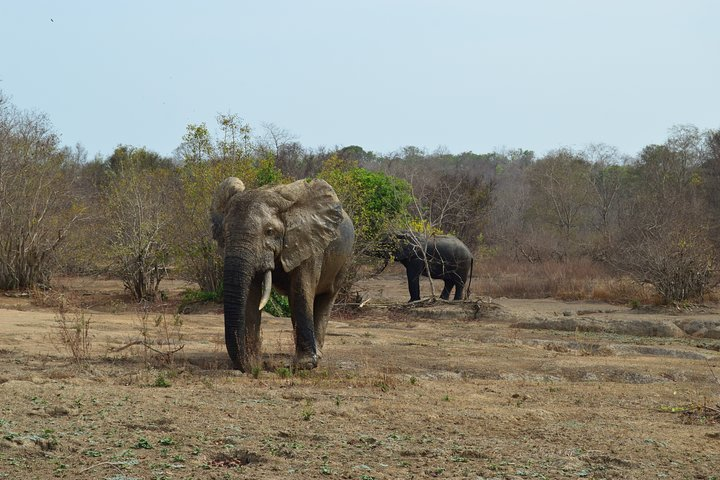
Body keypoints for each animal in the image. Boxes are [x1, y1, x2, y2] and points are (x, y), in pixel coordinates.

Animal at [208, 176, 354, 372]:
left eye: (269, 232)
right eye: (224, 232)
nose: (251, 366)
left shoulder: (308, 244)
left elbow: (300, 292)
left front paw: (305, 365)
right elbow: (252, 297)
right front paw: (253, 360)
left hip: (345, 258)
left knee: (326, 297)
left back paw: (318, 355)